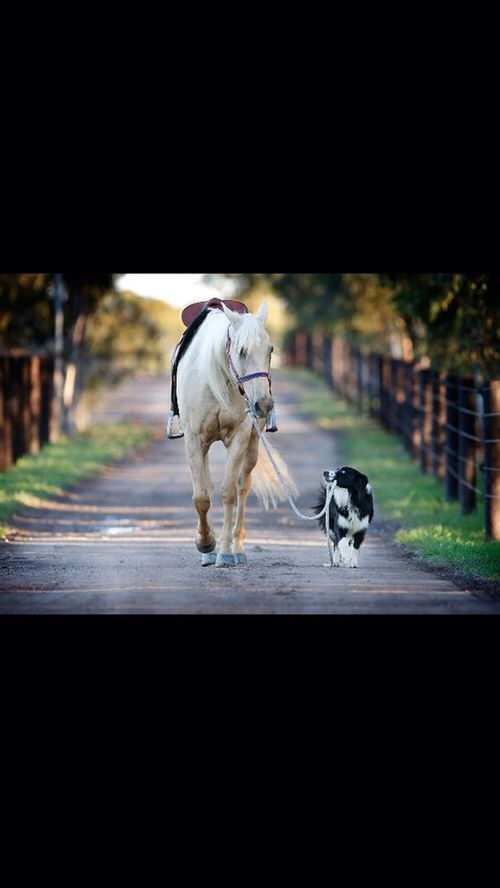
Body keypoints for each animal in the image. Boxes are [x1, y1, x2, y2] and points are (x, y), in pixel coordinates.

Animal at [175, 296, 296, 560]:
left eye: (271, 350)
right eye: (242, 351)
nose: (264, 404)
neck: (219, 381)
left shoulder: (239, 437)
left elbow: (229, 492)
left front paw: (224, 552)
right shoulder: (194, 440)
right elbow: (201, 497)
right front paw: (205, 542)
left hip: (252, 445)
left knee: (243, 486)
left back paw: (237, 545)